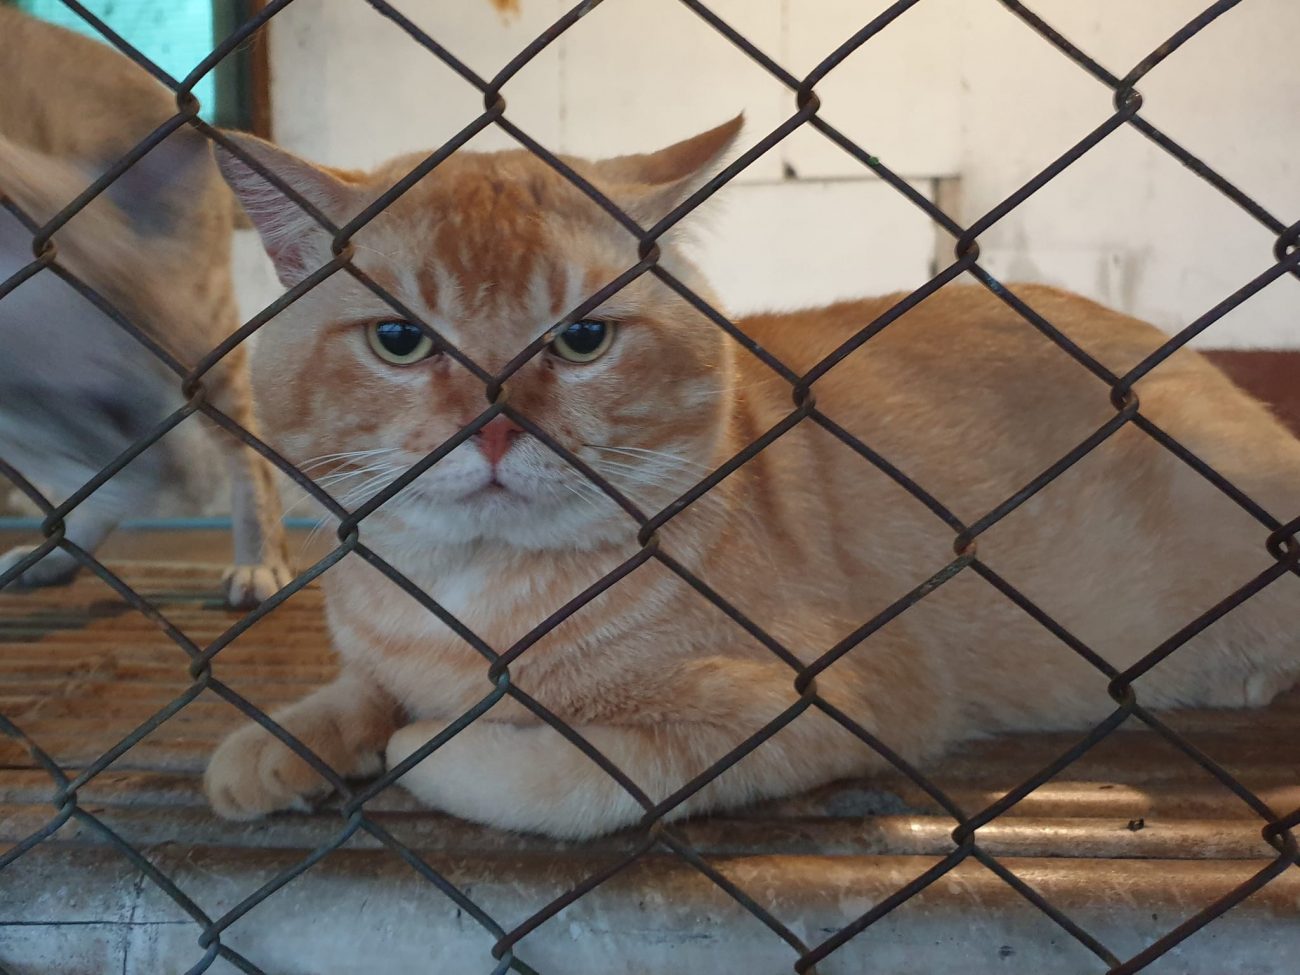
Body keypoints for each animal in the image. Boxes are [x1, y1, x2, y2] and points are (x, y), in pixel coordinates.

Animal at [0, 6, 290, 608]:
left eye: (163, 385)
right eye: (105, 405)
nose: (188, 492)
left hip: (210, 331)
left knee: (249, 454)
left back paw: (260, 561)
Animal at [204, 117, 1300, 838]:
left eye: (584, 339)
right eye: (399, 340)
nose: (495, 427)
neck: (465, 593)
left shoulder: (821, 701)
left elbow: (538, 773)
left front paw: (415, 746)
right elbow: (355, 688)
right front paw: (279, 744)